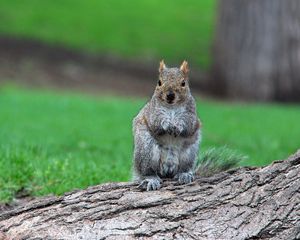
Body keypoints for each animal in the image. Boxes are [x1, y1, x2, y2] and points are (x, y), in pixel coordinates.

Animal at [133, 60, 202, 191]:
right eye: (159, 82)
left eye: (183, 83)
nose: (170, 95)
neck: (172, 107)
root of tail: (168, 167)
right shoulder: (152, 112)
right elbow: (156, 123)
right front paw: (167, 124)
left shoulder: (192, 115)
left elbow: (189, 125)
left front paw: (179, 125)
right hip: (146, 151)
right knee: (148, 171)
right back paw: (151, 179)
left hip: (188, 153)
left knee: (183, 168)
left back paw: (184, 174)